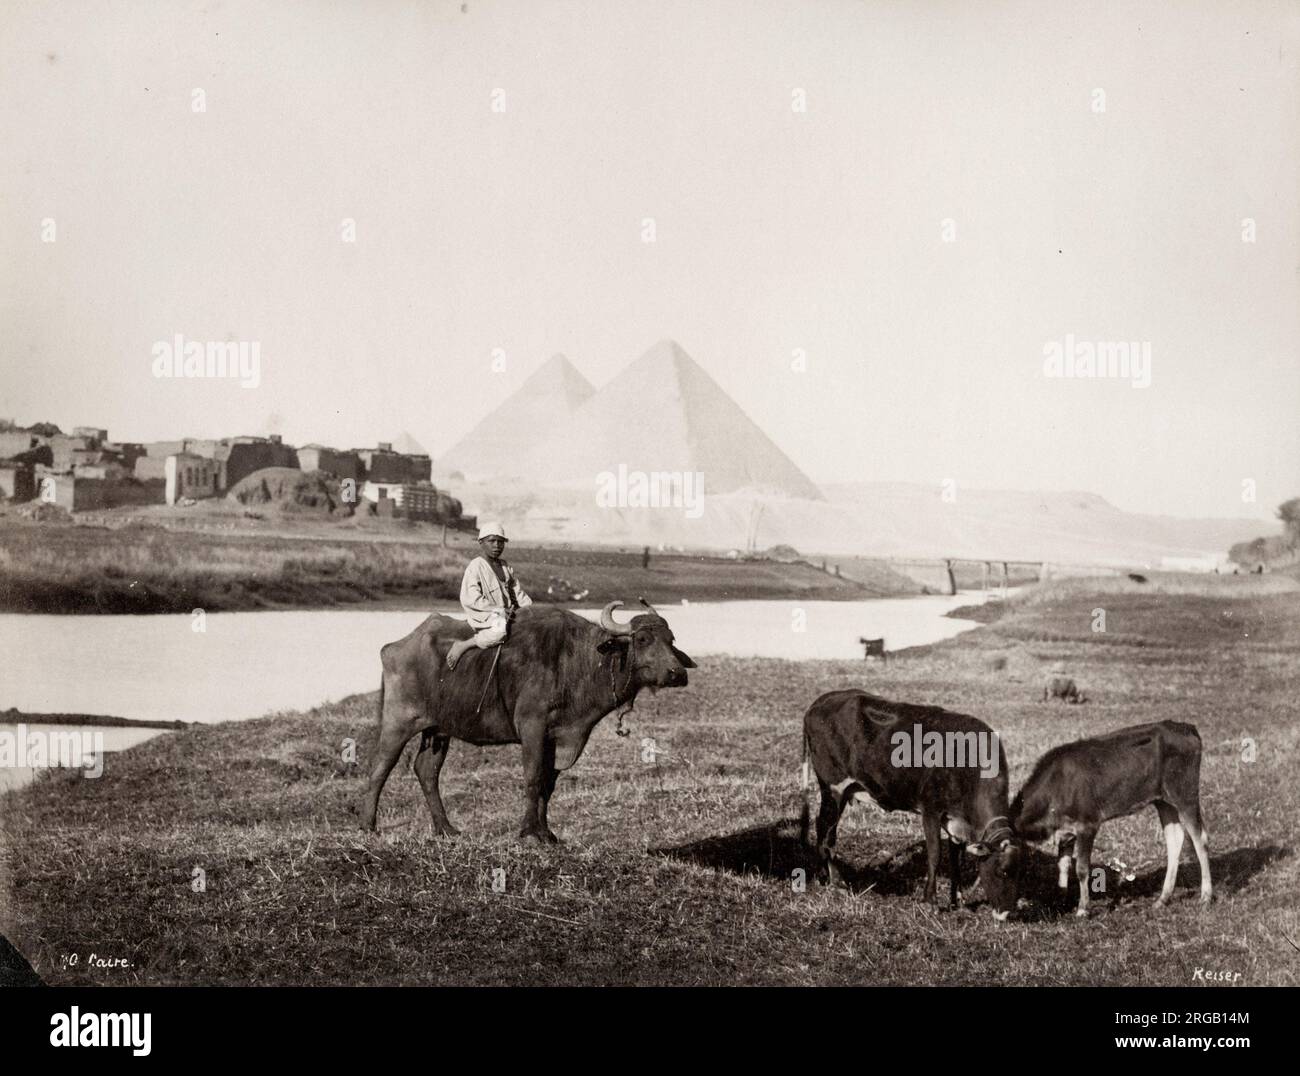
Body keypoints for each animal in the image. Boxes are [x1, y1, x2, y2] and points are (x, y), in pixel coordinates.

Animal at [358, 600, 691, 847]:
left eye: (671, 640)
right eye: (643, 639)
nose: (677, 673)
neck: (578, 662)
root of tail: (394, 647)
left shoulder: (561, 738)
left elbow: (548, 784)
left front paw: (547, 833)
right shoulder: (533, 728)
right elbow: (532, 778)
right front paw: (528, 833)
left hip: (439, 729)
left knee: (426, 770)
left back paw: (446, 828)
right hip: (399, 721)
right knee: (380, 767)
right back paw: (367, 826)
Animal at [795, 691, 1019, 920]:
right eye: (1001, 871)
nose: (1007, 913)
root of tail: (824, 699)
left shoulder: (955, 822)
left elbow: (956, 861)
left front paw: (957, 901)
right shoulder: (931, 810)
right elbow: (935, 855)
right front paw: (930, 902)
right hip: (832, 788)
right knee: (826, 831)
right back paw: (835, 882)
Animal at [1008, 722, 1211, 914]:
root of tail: (1187, 727)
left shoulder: (1087, 824)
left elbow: (1081, 868)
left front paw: (1083, 909)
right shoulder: (1065, 832)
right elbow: (1063, 866)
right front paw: (1061, 902)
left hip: (1185, 793)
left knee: (1200, 839)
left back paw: (1206, 896)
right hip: (1162, 800)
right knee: (1174, 838)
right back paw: (1162, 899)